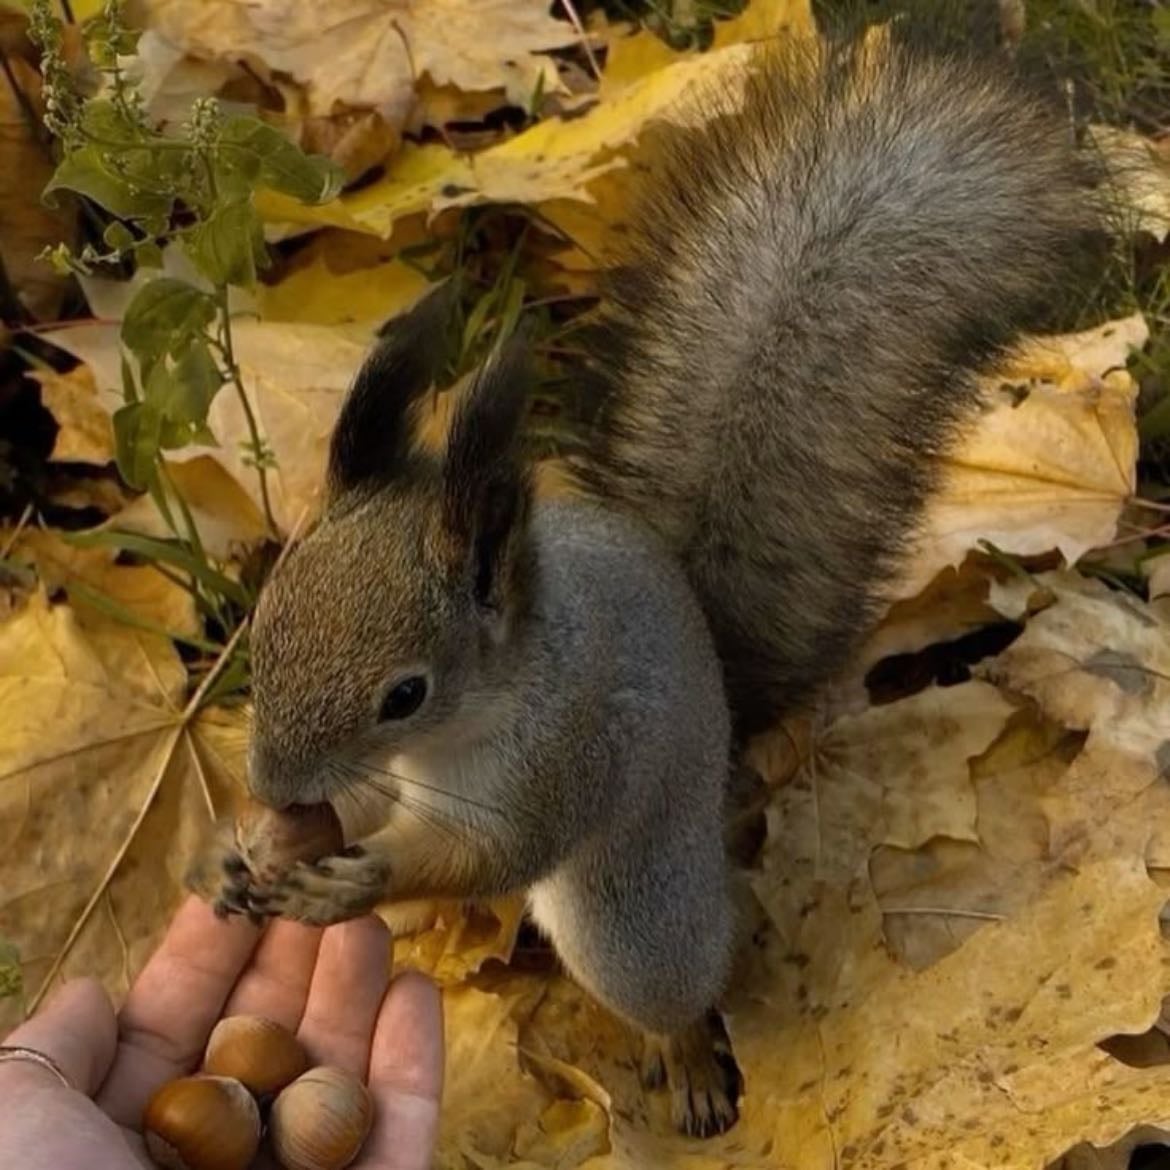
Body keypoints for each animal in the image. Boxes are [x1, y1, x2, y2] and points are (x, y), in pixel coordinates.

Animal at [191, 23, 1100, 1139]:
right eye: (263, 621)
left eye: (405, 693)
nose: (273, 783)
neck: (478, 714)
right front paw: (243, 853)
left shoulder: (563, 757)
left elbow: (488, 854)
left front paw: (355, 886)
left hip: (637, 917)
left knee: (675, 980)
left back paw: (690, 1064)